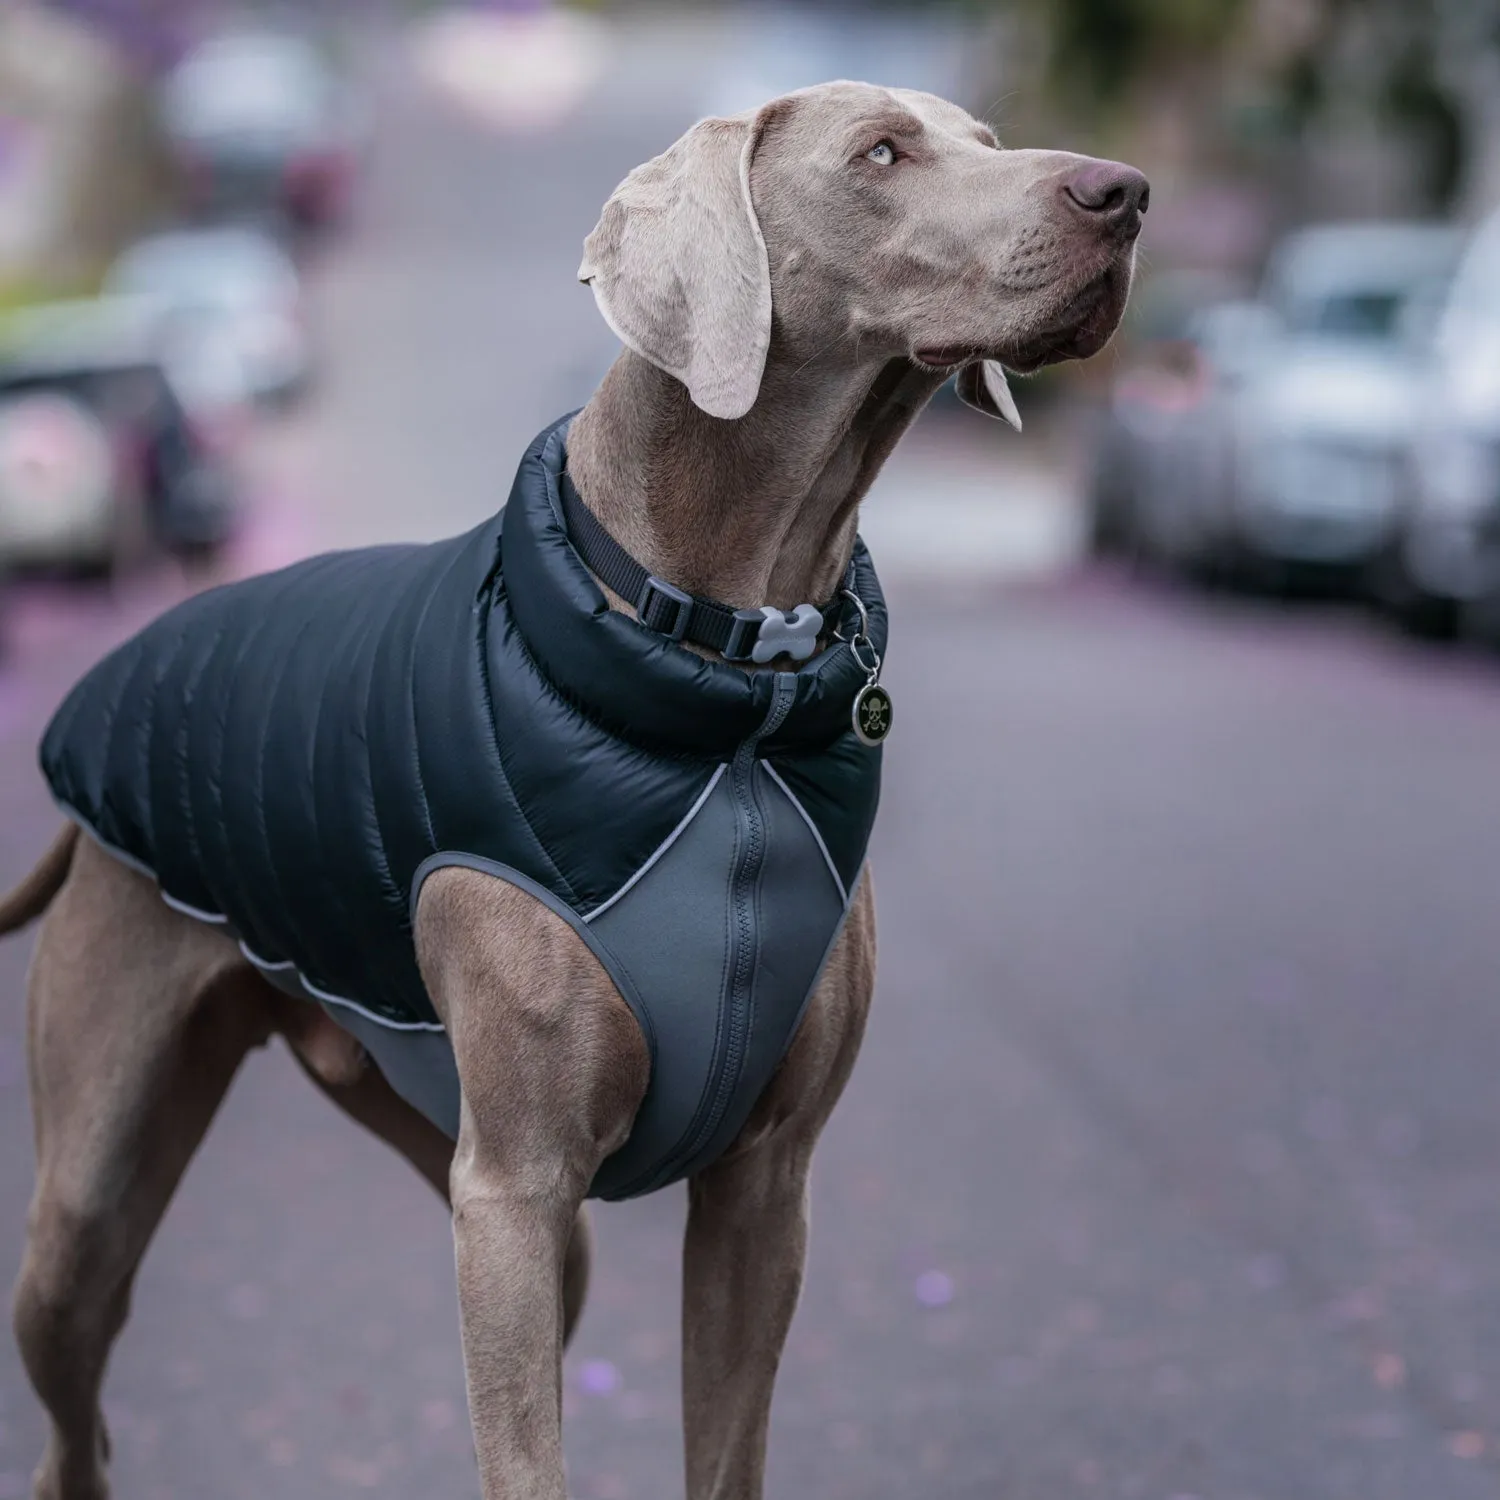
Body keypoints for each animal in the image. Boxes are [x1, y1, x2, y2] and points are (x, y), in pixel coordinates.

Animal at [2, 79, 1146, 1500]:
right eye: (881, 154)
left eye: (988, 142)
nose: (1125, 194)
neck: (731, 681)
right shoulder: (517, 1185)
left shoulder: (762, 1188)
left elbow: (726, 1452)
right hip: (92, 1198)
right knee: (74, 1416)